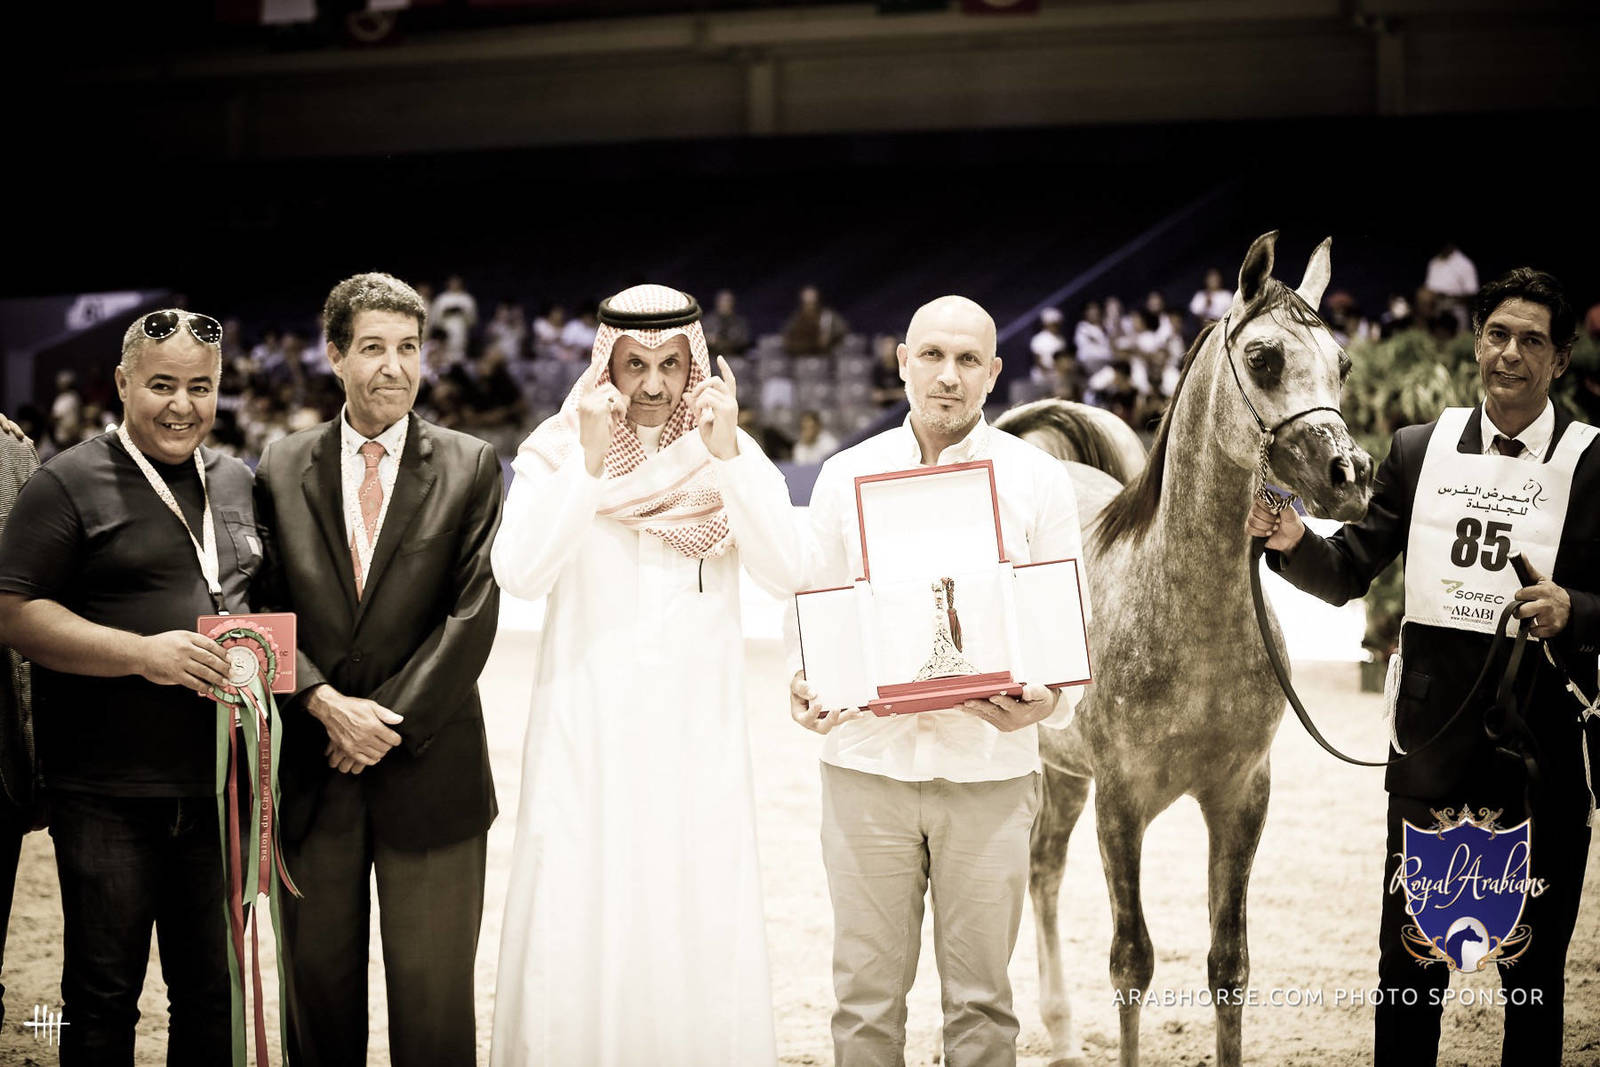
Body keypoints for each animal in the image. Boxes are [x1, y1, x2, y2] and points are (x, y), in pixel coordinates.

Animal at [994, 231, 1375, 1067]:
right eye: (1264, 357)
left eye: (1344, 362)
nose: (1351, 473)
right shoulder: (1122, 800)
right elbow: (1131, 961)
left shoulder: (1241, 795)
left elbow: (1228, 962)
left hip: (1062, 771)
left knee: (1041, 866)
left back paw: (1062, 1032)